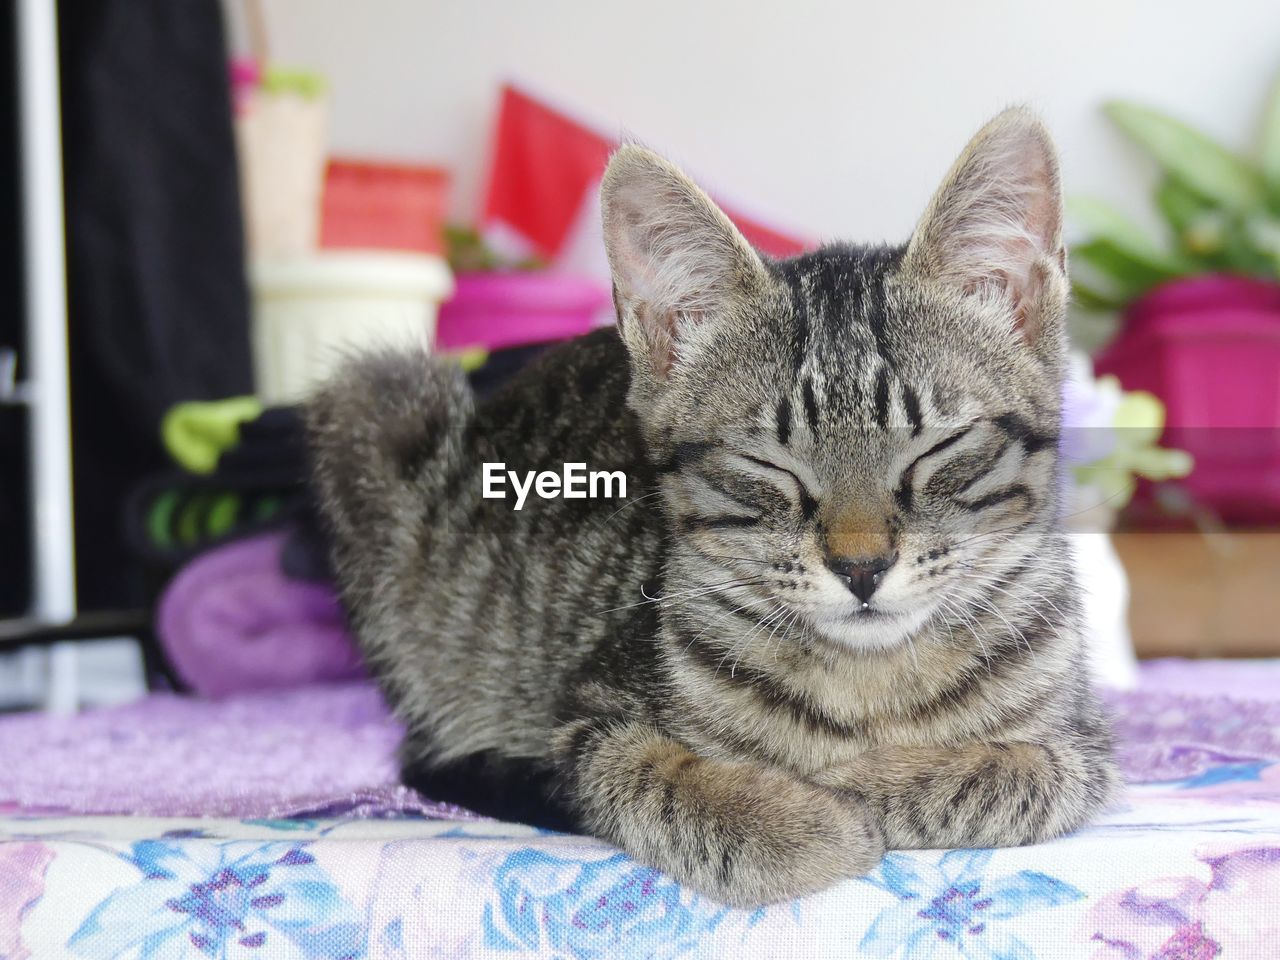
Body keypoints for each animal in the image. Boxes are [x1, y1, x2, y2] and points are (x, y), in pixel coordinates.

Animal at [307, 106, 1121, 911]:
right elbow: (654, 777)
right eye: (768, 464)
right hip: (376, 402)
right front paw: (802, 820)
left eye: (939, 447)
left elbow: (1029, 772)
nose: (861, 566)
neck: (869, 686)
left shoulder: (1087, 744)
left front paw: (873, 784)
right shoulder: (586, 715)